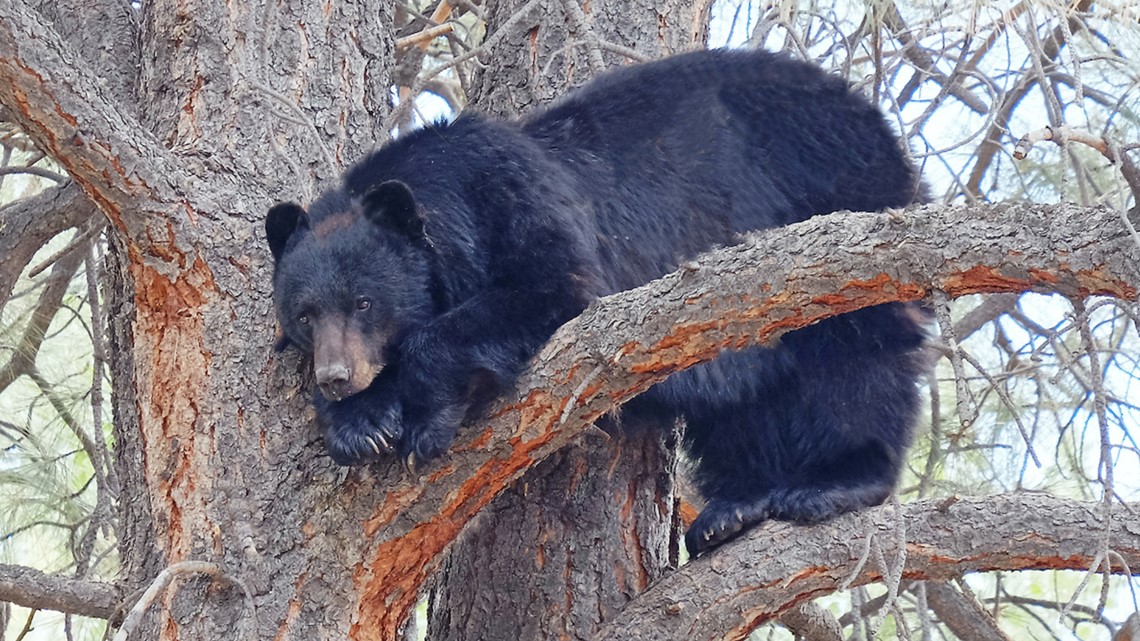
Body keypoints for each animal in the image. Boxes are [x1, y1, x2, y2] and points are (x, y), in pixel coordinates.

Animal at [271, 48, 930, 554]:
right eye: (304, 314)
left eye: (364, 303)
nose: (336, 376)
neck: (450, 189)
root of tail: (878, 123)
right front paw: (361, 424)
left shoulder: (516, 203)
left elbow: (547, 290)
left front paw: (425, 422)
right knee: (746, 400)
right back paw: (733, 508)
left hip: (829, 221)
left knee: (856, 352)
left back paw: (835, 480)